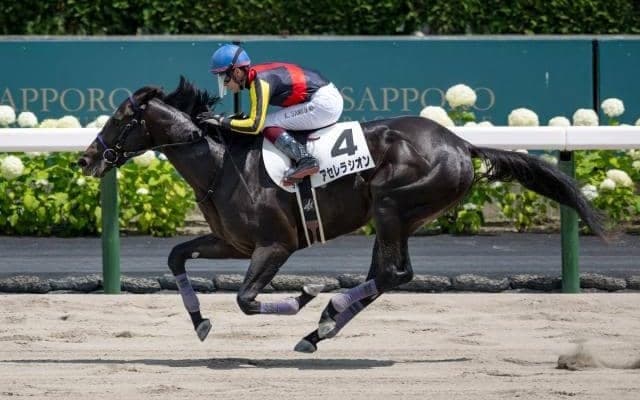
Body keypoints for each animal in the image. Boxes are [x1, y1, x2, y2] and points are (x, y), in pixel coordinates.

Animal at [78, 77, 606, 353]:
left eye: (120, 119)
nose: (86, 158)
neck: (221, 162)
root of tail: (460, 144)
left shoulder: (276, 245)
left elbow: (246, 299)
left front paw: (305, 296)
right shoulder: (232, 242)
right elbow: (175, 258)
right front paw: (200, 322)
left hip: (393, 204)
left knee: (394, 273)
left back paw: (327, 312)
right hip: (395, 216)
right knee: (389, 274)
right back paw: (320, 331)